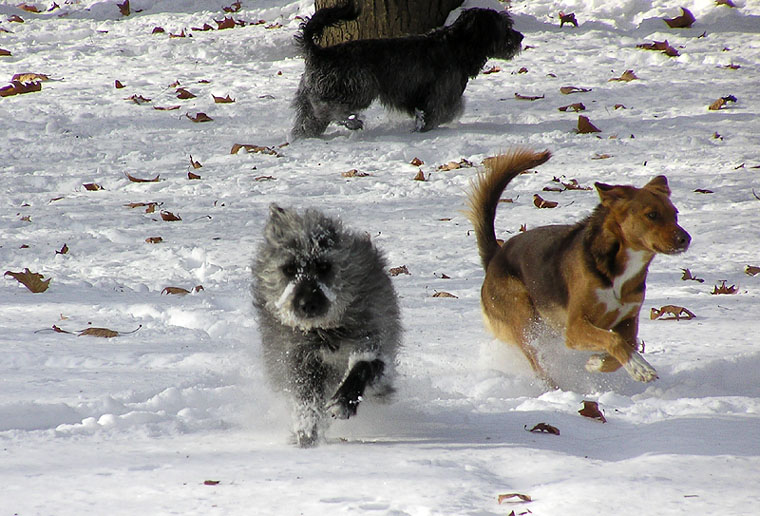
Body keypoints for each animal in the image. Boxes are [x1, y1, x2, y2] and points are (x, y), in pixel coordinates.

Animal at [252, 204, 400, 446]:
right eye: (288, 269)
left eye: (323, 266)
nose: (307, 304)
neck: (325, 330)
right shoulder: (299, 360)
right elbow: (307, 400)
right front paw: (306, 432)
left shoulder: (374, 341)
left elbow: (363, 365)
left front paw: (343, 401)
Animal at [290, 0, 524, 139]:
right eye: (505, 26)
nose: (520, 37)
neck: (456, 44)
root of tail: (319, 52)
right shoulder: (438, 96)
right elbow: (442, 112)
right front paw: (423, 128)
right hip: (360, 86)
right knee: (326, 107)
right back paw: (351, 121)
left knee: (308, 121)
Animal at [466, 148, 692, 388]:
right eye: (651, 215)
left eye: (675, 214)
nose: (685, 239)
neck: (618, 271)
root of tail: (494, 256)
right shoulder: (575, 328)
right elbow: (614, 339)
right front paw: (640, 368)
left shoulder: (628, 320)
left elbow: (625, 344)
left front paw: (598, 363)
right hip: (525, 321)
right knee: (538, 363)